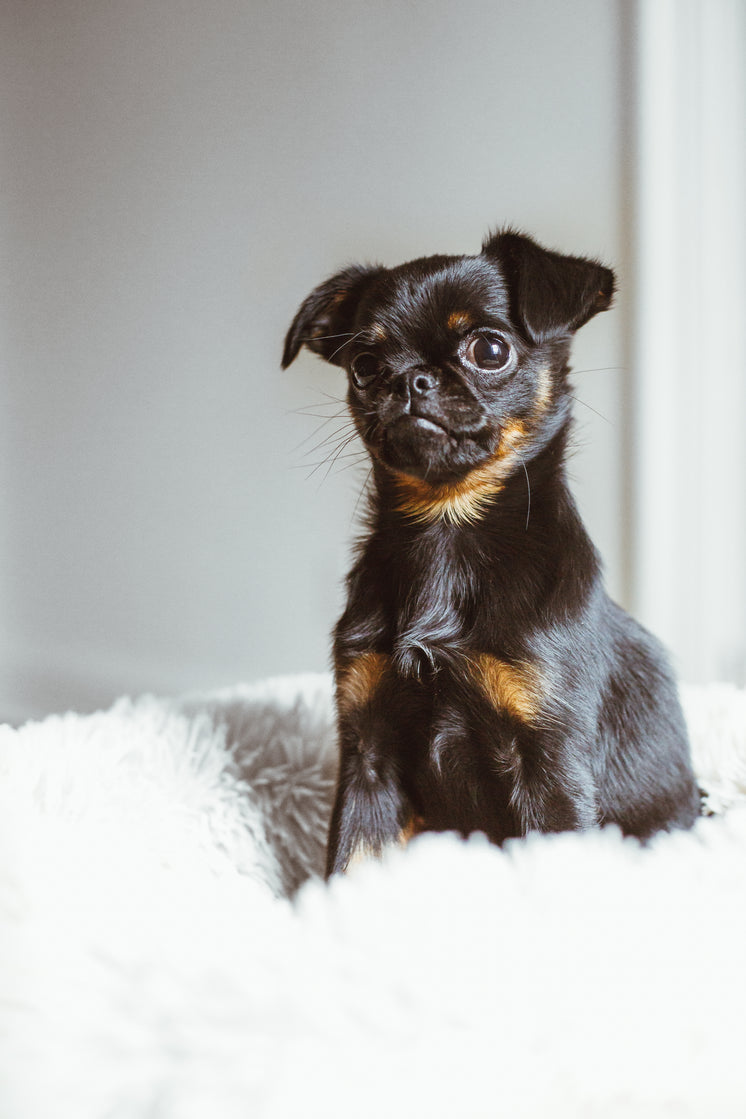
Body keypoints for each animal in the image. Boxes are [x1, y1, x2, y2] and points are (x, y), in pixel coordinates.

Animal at [281, 227, 702, 877]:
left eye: (489, 350)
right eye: (365, 367)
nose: (410, 380)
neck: (447, 530)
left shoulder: (549, 766)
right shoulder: (368, 758)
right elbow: (348, 866)